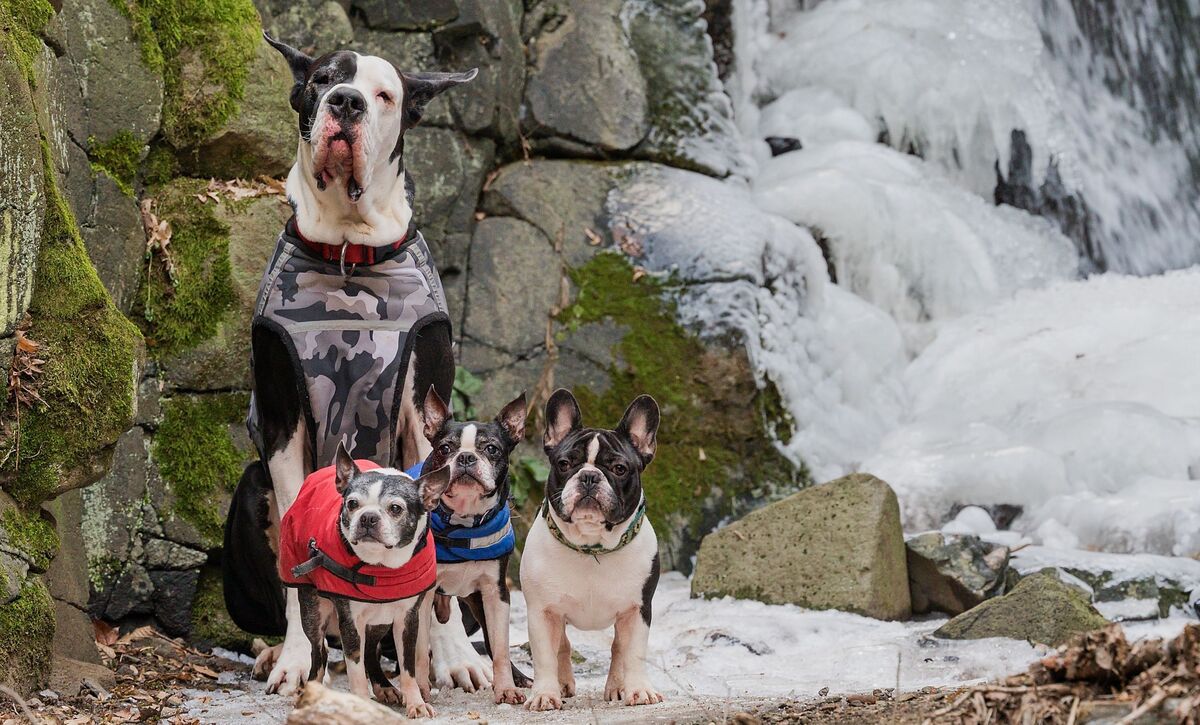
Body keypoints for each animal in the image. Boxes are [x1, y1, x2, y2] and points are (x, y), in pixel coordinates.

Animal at [279, 441, 449, 716]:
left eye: (395, 509)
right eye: (352, 504)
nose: (368, 517)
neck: (381, 566)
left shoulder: (407, 619)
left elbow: (408, 668)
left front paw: (416, 703)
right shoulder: (350, 622)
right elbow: (355, 669)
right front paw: (360, 704)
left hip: (380, 620)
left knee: (370, 650)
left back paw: (384, 686)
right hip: (313, 611)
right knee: (319, 653)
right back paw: (310, 692)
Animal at [418, 389, 533, 704]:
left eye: (491, 449)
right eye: (445, 448)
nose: (466, 457)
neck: (464, 523)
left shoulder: (496, 592)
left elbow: (500, 647)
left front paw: (506, 688)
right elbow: (416, 650)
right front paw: (419, 693)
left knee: (494, 646)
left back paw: (520, 679)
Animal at [519, 389, 664, 711]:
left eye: (619, 468)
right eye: (564, 464)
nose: (588, 476)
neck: (591, 546)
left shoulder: (637, 610)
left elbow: (633, 653)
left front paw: (639, 690)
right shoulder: (542, 612)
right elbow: (545, 657)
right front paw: (544, 693)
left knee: (618, 648)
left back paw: (618, 686)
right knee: (563, 645)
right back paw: (562, 684)